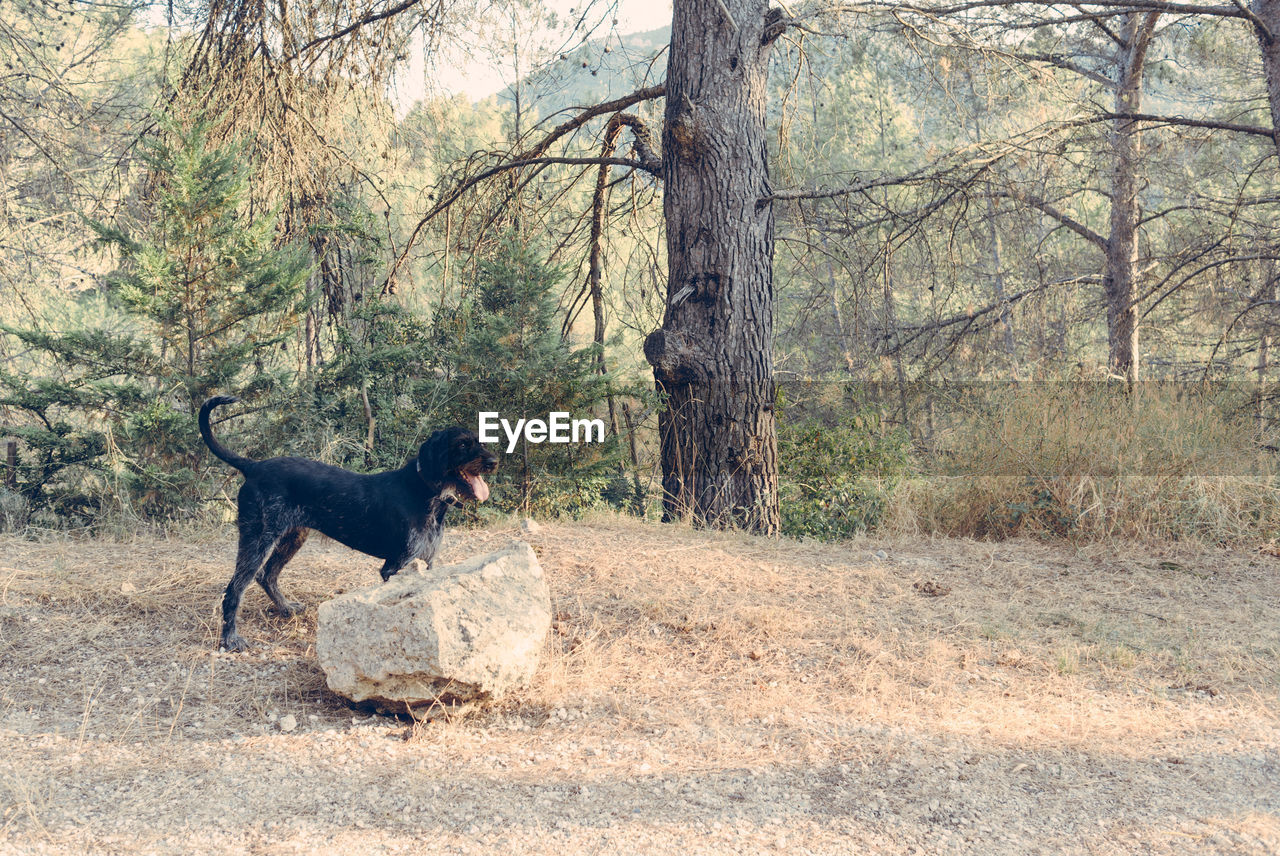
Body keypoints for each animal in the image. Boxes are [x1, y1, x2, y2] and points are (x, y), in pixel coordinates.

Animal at [199, 396, 499, 649]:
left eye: (481, 442)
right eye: (462, 444)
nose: (494, 462)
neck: (426, 492)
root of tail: (253, 466)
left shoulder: (427, 562)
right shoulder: (395, 566)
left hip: (292, 537)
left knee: (267, 575)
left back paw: (285, 609)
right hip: (258, 537)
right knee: (234, 589)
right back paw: (230, 639)